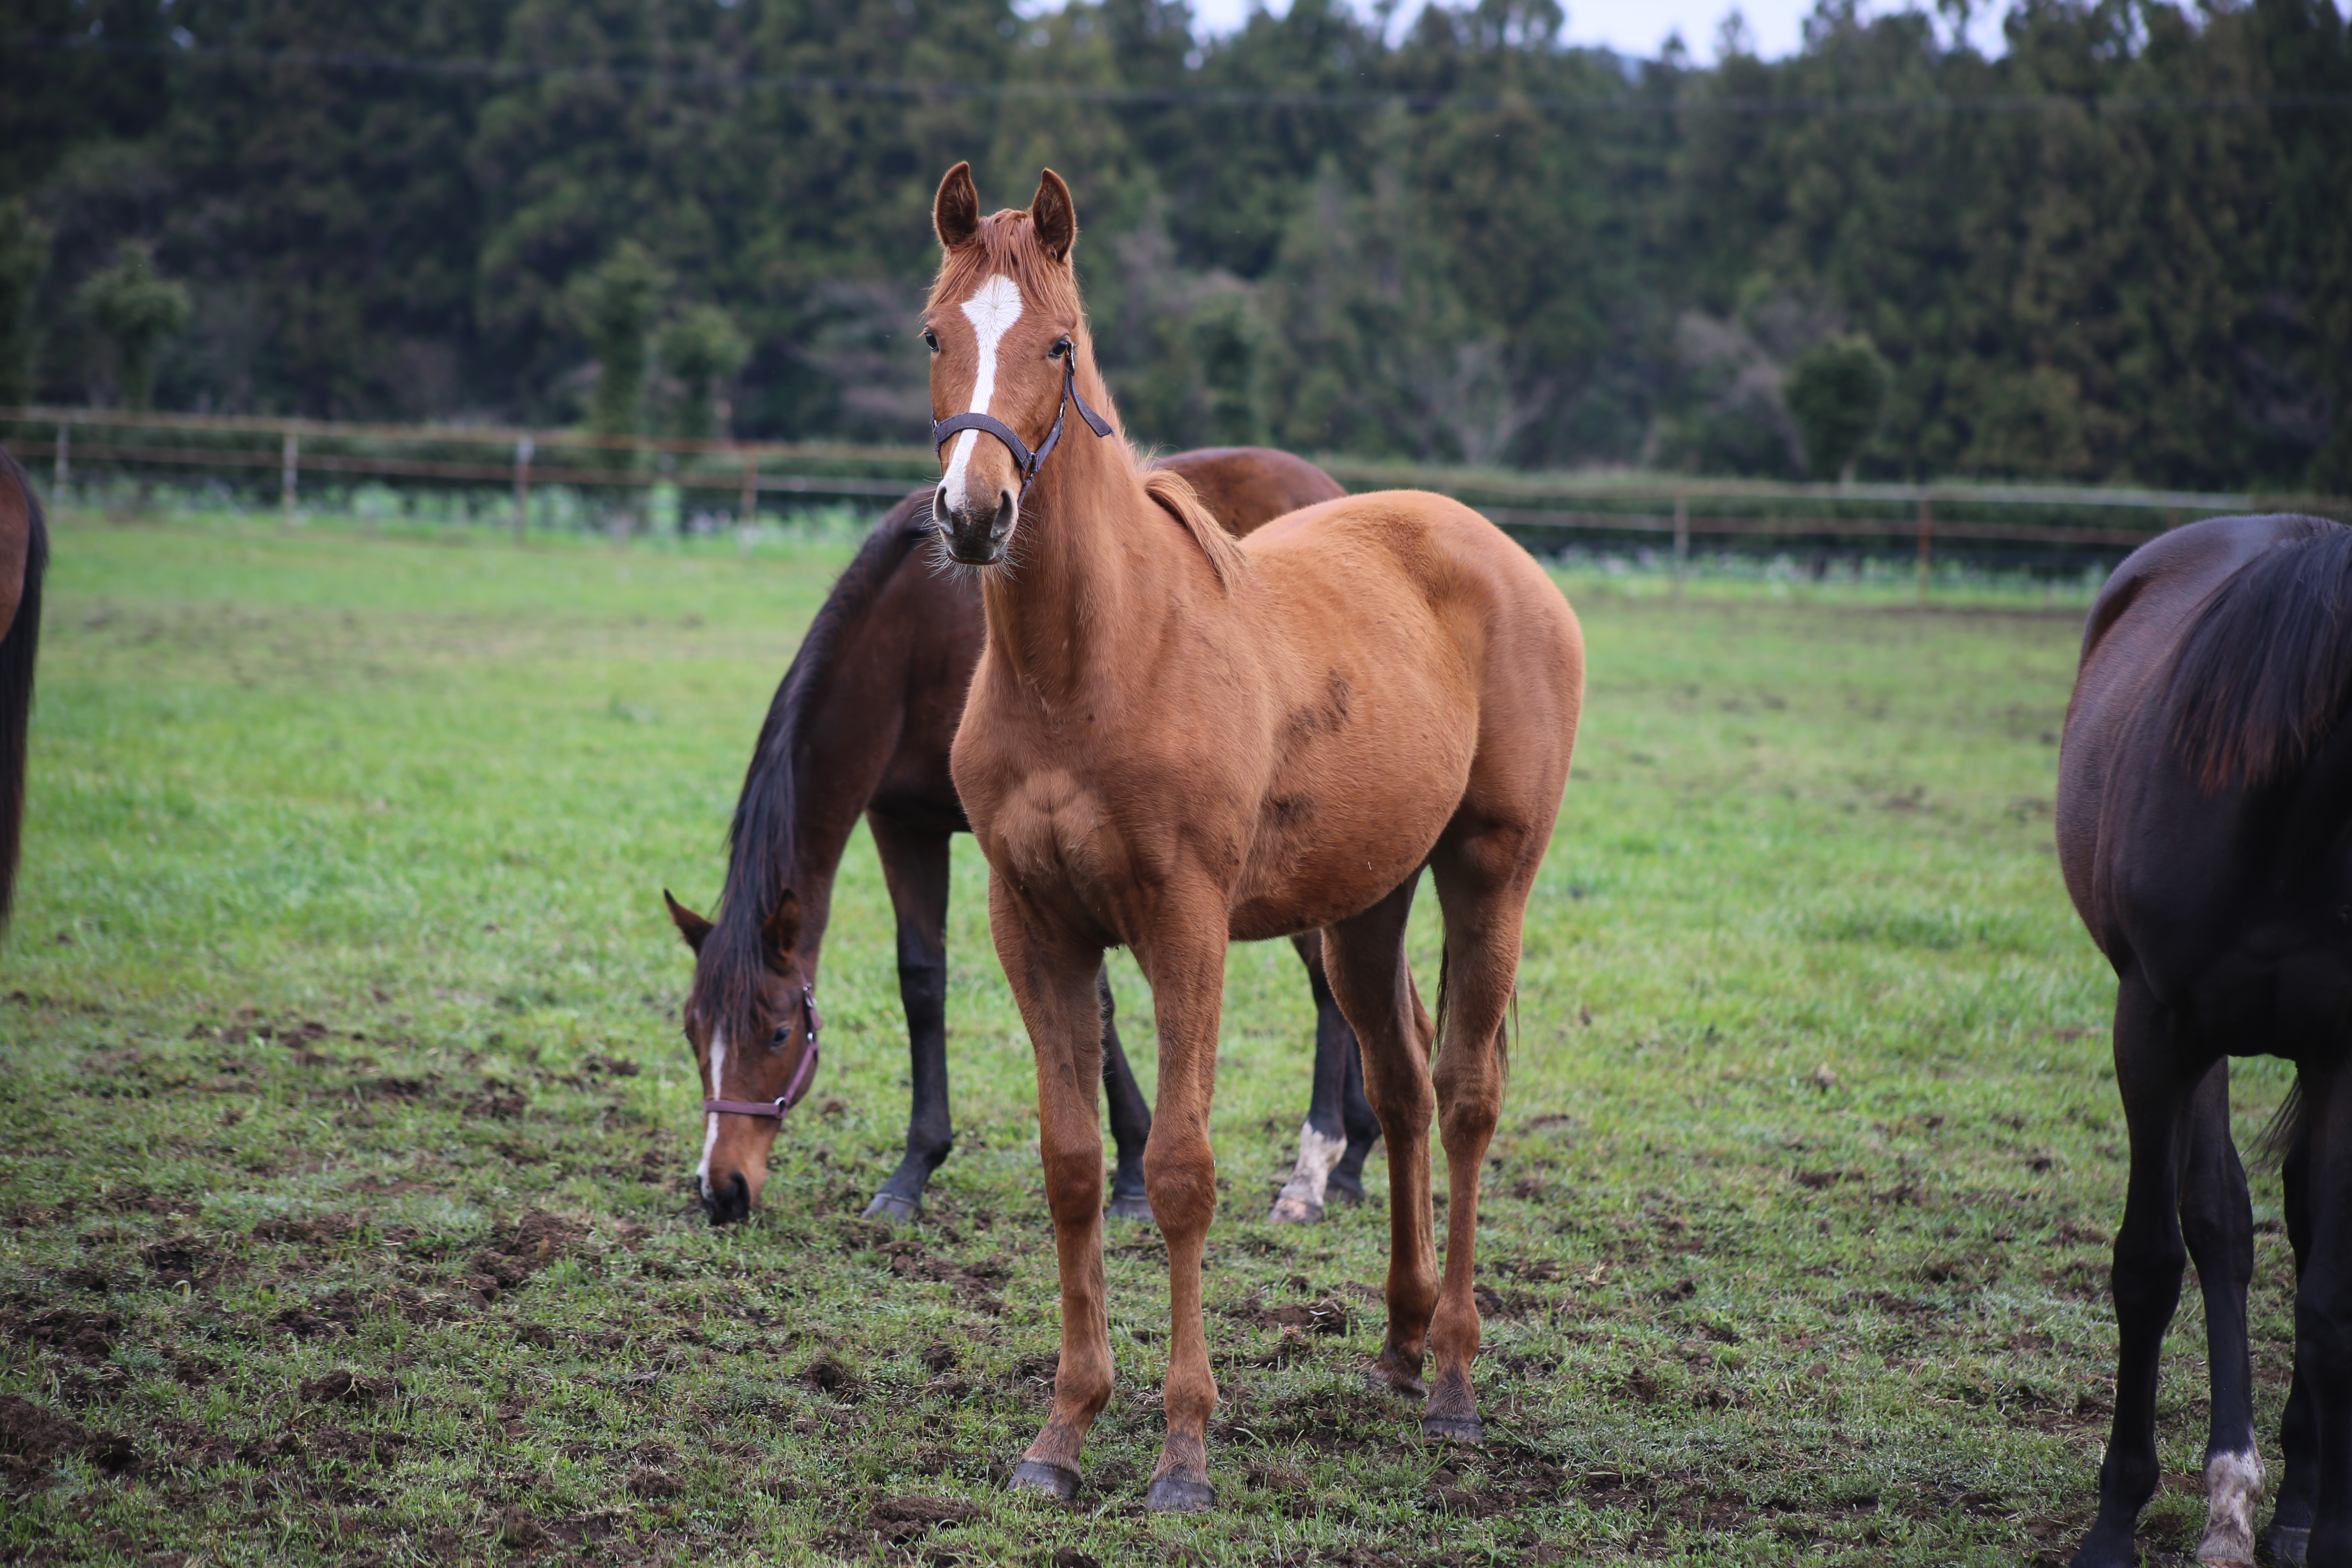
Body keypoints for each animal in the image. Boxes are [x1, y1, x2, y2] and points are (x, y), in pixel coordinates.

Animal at [917, 165, 1580, 1514]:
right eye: (933, 335)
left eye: (1057, 345)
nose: (972, 514)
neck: (1095, 659)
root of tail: (1497, 550)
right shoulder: (1034, 926)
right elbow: (1075, 1167)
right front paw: (1062, 1432)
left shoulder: (1186, 927)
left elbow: (1179, 1171)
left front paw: (1183, 1453)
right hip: (1366, 907)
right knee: (1403, 1081)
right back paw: (1397, 1342)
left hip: (1489, 872)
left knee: (1468, 1094)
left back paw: (1454, 1377)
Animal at [2051, 510, 2352, 1561]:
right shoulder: (2152, 1028)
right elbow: (2150, 1263)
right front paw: (2112, 1521)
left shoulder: (2343, 1050)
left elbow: (2329, 1296)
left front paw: (2328, 1529)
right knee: (2221, 1220)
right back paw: (2227, 1495)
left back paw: (2289, 1501)